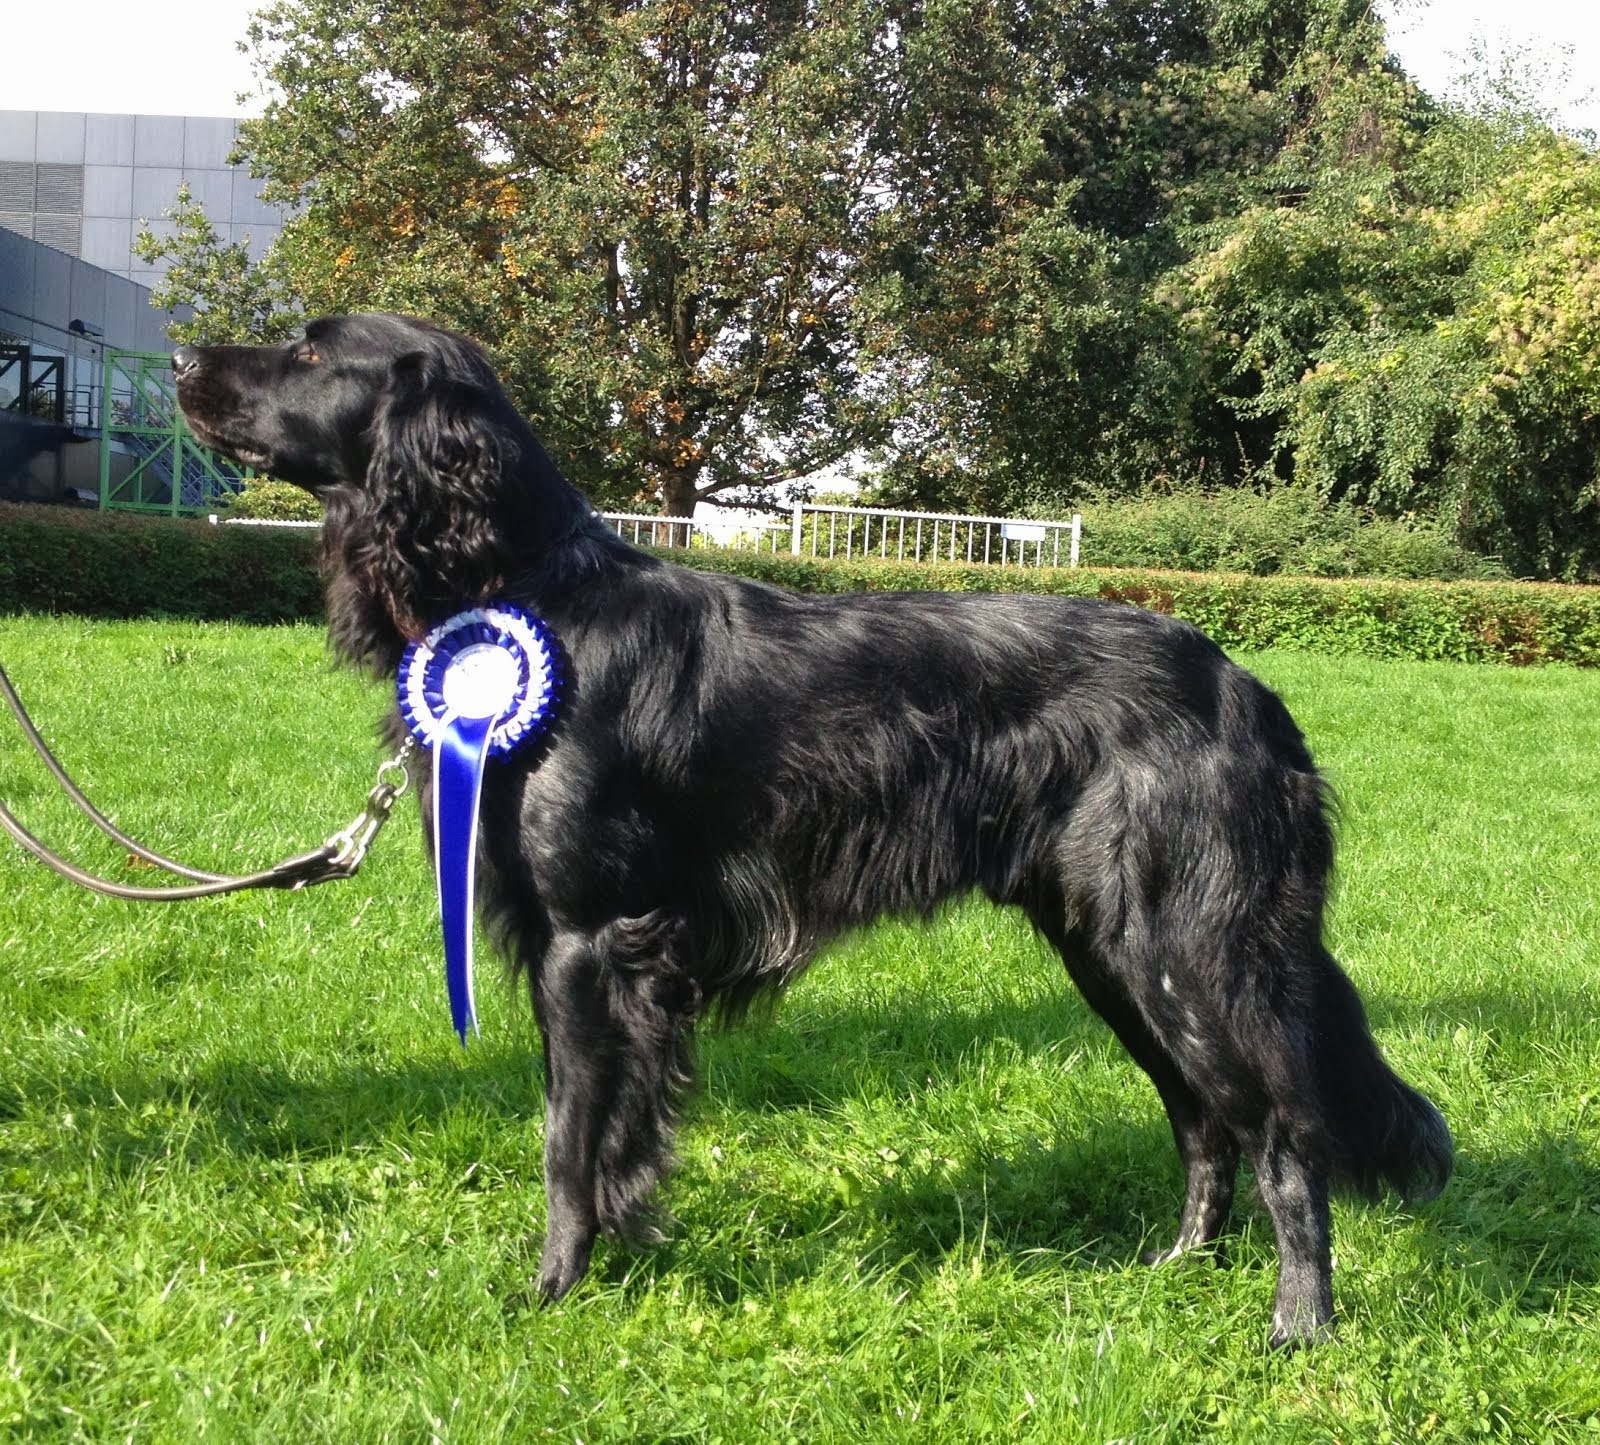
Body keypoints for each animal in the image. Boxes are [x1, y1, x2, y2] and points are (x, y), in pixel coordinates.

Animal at [175, 313, 1452, 1344]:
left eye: (310, 353)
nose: (183, 358)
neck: (542, 601)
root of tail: (1246, 687)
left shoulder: (592, 936)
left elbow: (564, 1133)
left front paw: (552, 1286)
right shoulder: (582, 951)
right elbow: (606, 1126)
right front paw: (622, 1252)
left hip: (1189, 946)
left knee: (1282, 1130)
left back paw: (1300, 1324)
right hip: (1111, 951)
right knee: (1202, 1120)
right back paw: (1176, 1266)